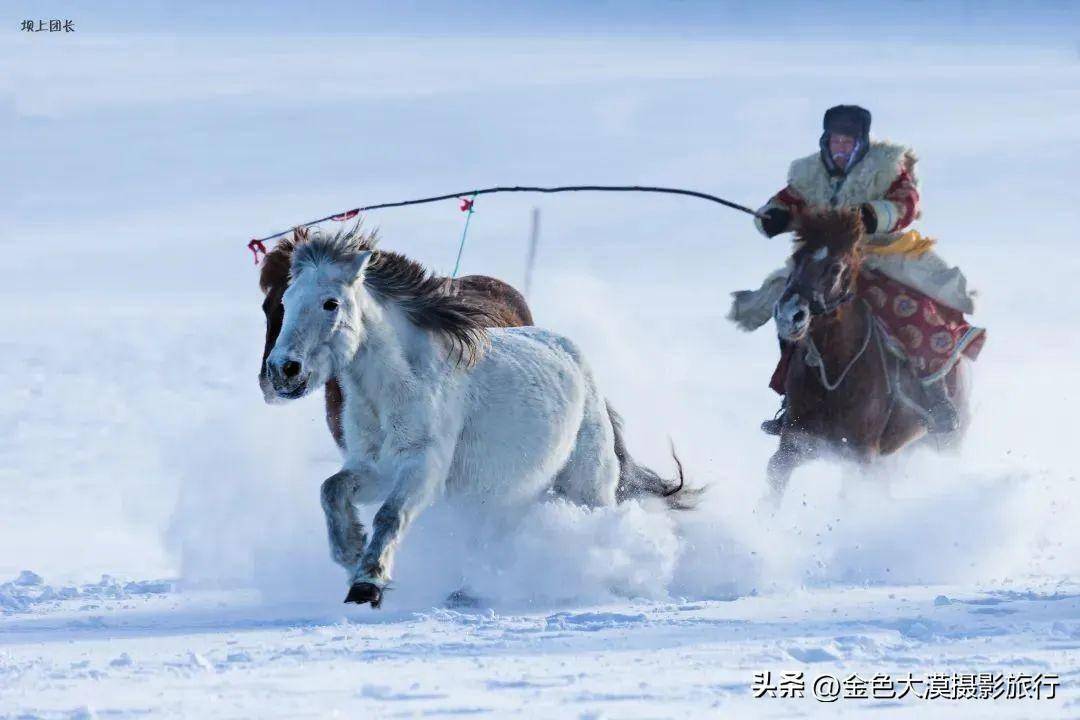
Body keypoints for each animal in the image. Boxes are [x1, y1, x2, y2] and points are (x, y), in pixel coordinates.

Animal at [768, 208, 972, 500]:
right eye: (796, 258)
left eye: (835, 268)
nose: (789, 315)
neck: (834, 374)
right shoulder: (793, 444)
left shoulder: (861, 456)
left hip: (945, 442)